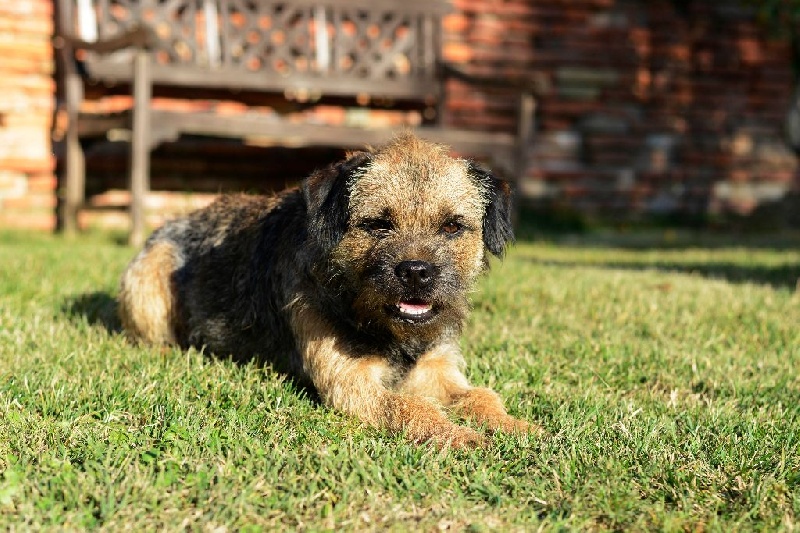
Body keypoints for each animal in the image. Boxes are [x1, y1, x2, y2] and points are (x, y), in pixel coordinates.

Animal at [119, 133, 536, 444]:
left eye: (452, 226)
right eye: (377, 224)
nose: (416, 271)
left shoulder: (437, 369)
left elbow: (481, 395)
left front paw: (519, 427)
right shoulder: (350, 384)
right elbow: (411, 407)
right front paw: (461, 436)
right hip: (147, 282)